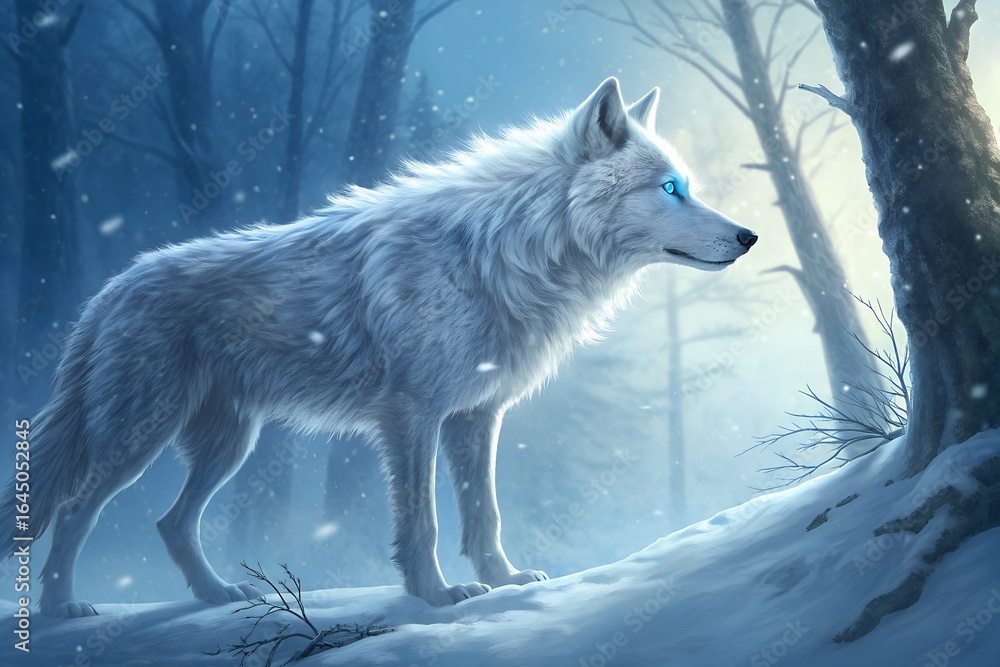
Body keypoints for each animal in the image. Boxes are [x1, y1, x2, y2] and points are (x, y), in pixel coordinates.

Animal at [2, 78, 756, 617]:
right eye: (671, 188)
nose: (749, 235)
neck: (500, 252)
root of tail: (110, 288)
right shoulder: (411, 417)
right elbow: (422, 521)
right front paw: (439, 597)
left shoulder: (476, 417)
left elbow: (484, 514)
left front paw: (508, 580)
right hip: (142, 436)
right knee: (75, 510)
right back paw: (66, 606)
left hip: (228, 444)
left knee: (169, 523)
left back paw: (217, 596)